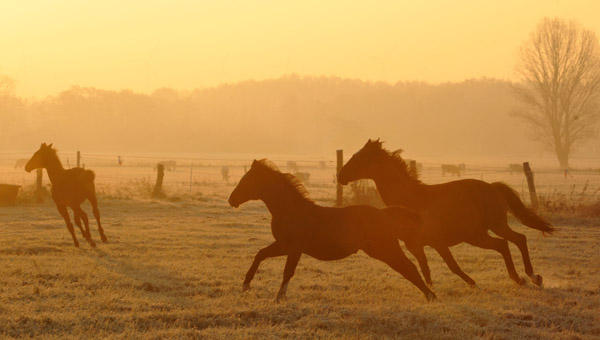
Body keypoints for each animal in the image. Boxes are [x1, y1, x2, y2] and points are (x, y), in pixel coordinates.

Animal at [226, 161, 436, 302]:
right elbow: (260, 254)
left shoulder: (294, 248)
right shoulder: (284, 245)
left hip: (387, 249)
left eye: (248, 180)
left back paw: (431, 295)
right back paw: (430, 294)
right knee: (407, 268)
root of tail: (384, 213)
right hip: (380, 251)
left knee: (409, 267)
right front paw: (246, 285)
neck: (291, 210)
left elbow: (287, 272)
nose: (231, 200)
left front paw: (279, 297)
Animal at [338, 139, 552, 288]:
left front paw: (472, 283)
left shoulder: (438, 242)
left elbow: (452, 266)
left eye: (359, 158)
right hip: (478, 234)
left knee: (515, 240)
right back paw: (525, 278)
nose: (340, 176)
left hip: (492, 227)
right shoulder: (416, 247)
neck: (412, 202)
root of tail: (492, 187)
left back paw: (529, 277)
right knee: (507, 243)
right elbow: (425, 271)